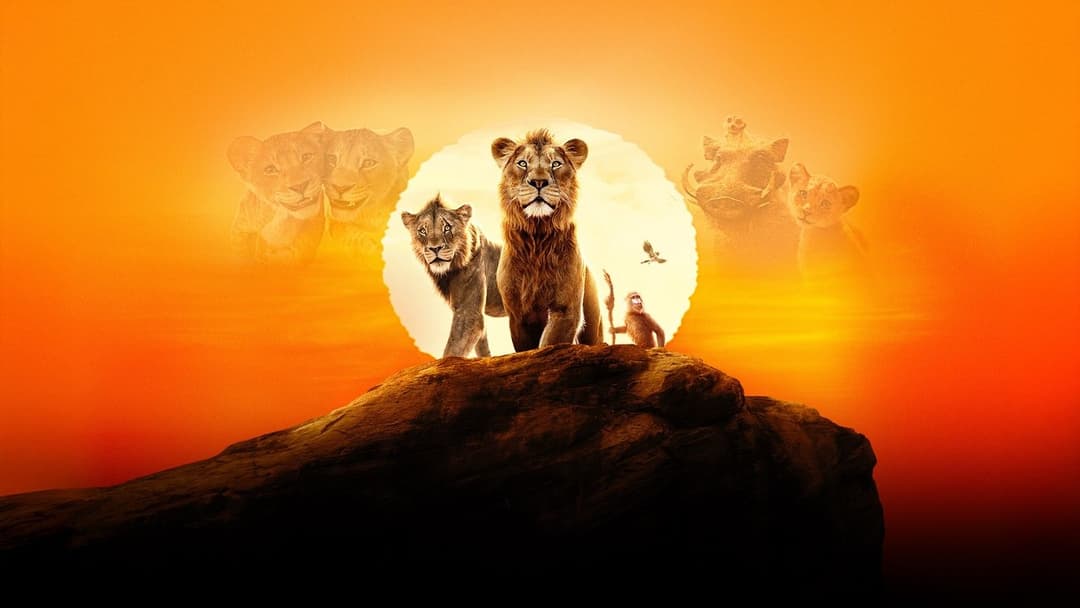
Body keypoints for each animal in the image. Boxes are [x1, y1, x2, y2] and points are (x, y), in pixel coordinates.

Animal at [401, 194, 505, 358]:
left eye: (447, 228)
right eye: (422, 231)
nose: (435, 248)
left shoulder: (469, 313)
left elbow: (453, 350)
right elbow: (482, 347)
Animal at [490, 129, 603, 352]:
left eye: (556, 164)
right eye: (522, 163)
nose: (539, 182)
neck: (538, 238)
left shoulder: (566, 309)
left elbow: (551, 342)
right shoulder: (519, 315)